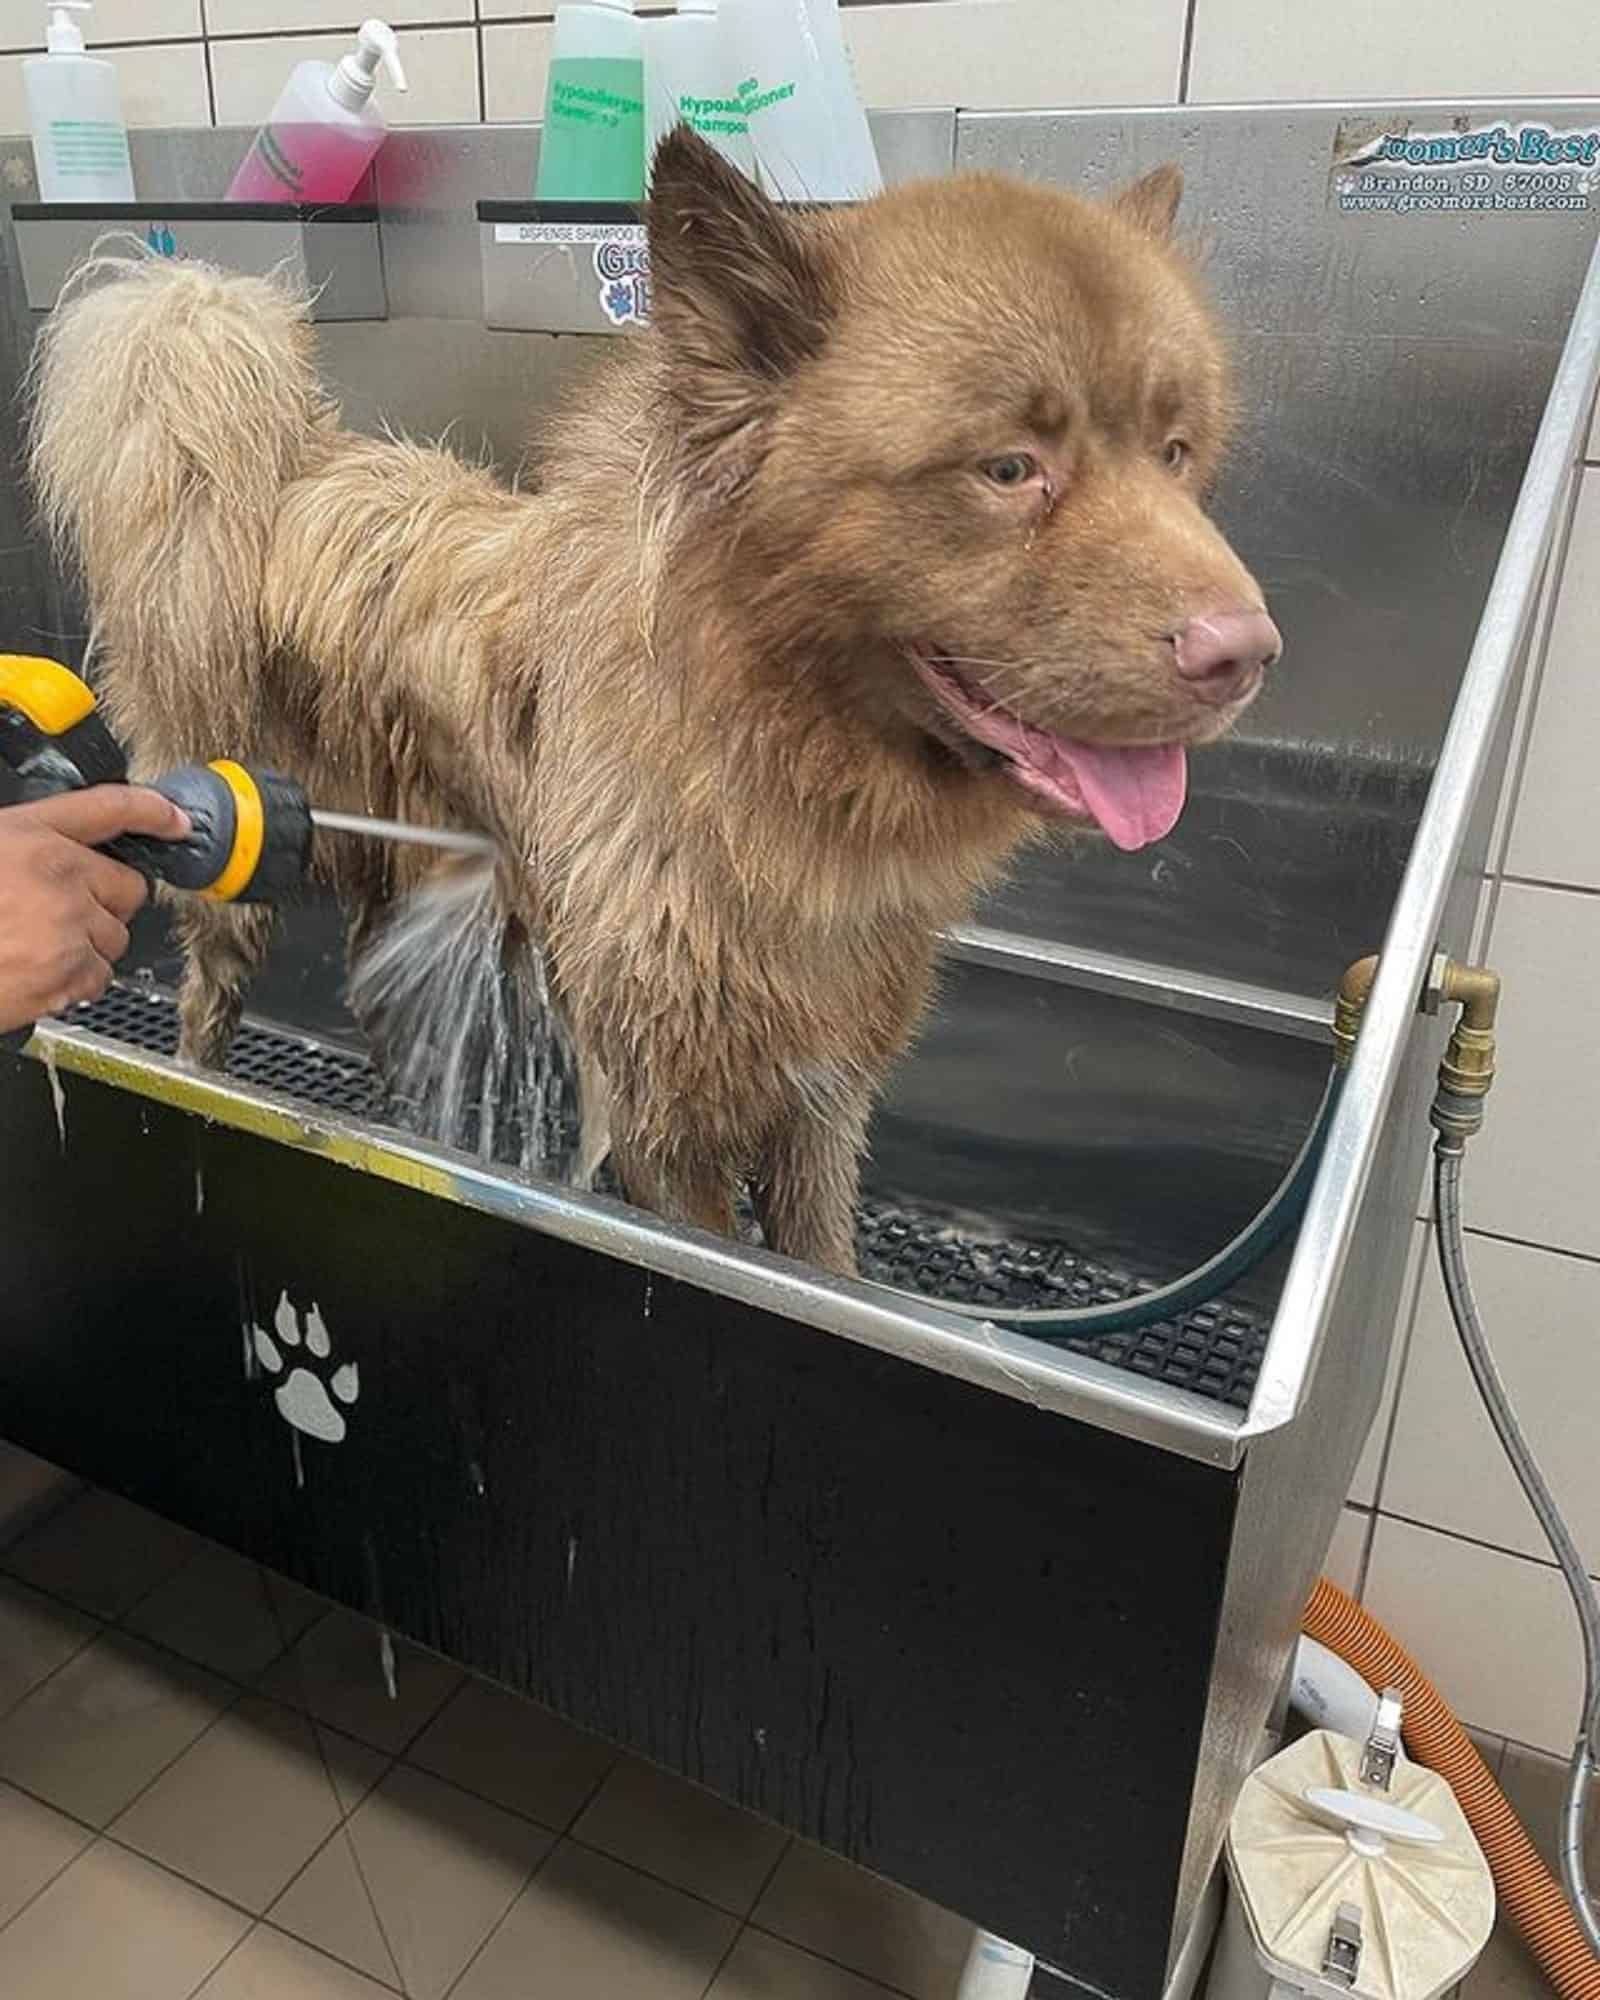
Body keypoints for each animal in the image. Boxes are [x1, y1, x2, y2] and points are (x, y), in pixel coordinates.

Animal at [28, 133, 1272, 1272]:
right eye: (1008, 468)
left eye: (1174, 453)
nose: (1247, 652)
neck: (764, 765)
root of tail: (270, 461)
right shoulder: (668, 1114)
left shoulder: (821, 1096)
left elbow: (822, 1255)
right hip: (230, 846)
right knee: (206, 1002)